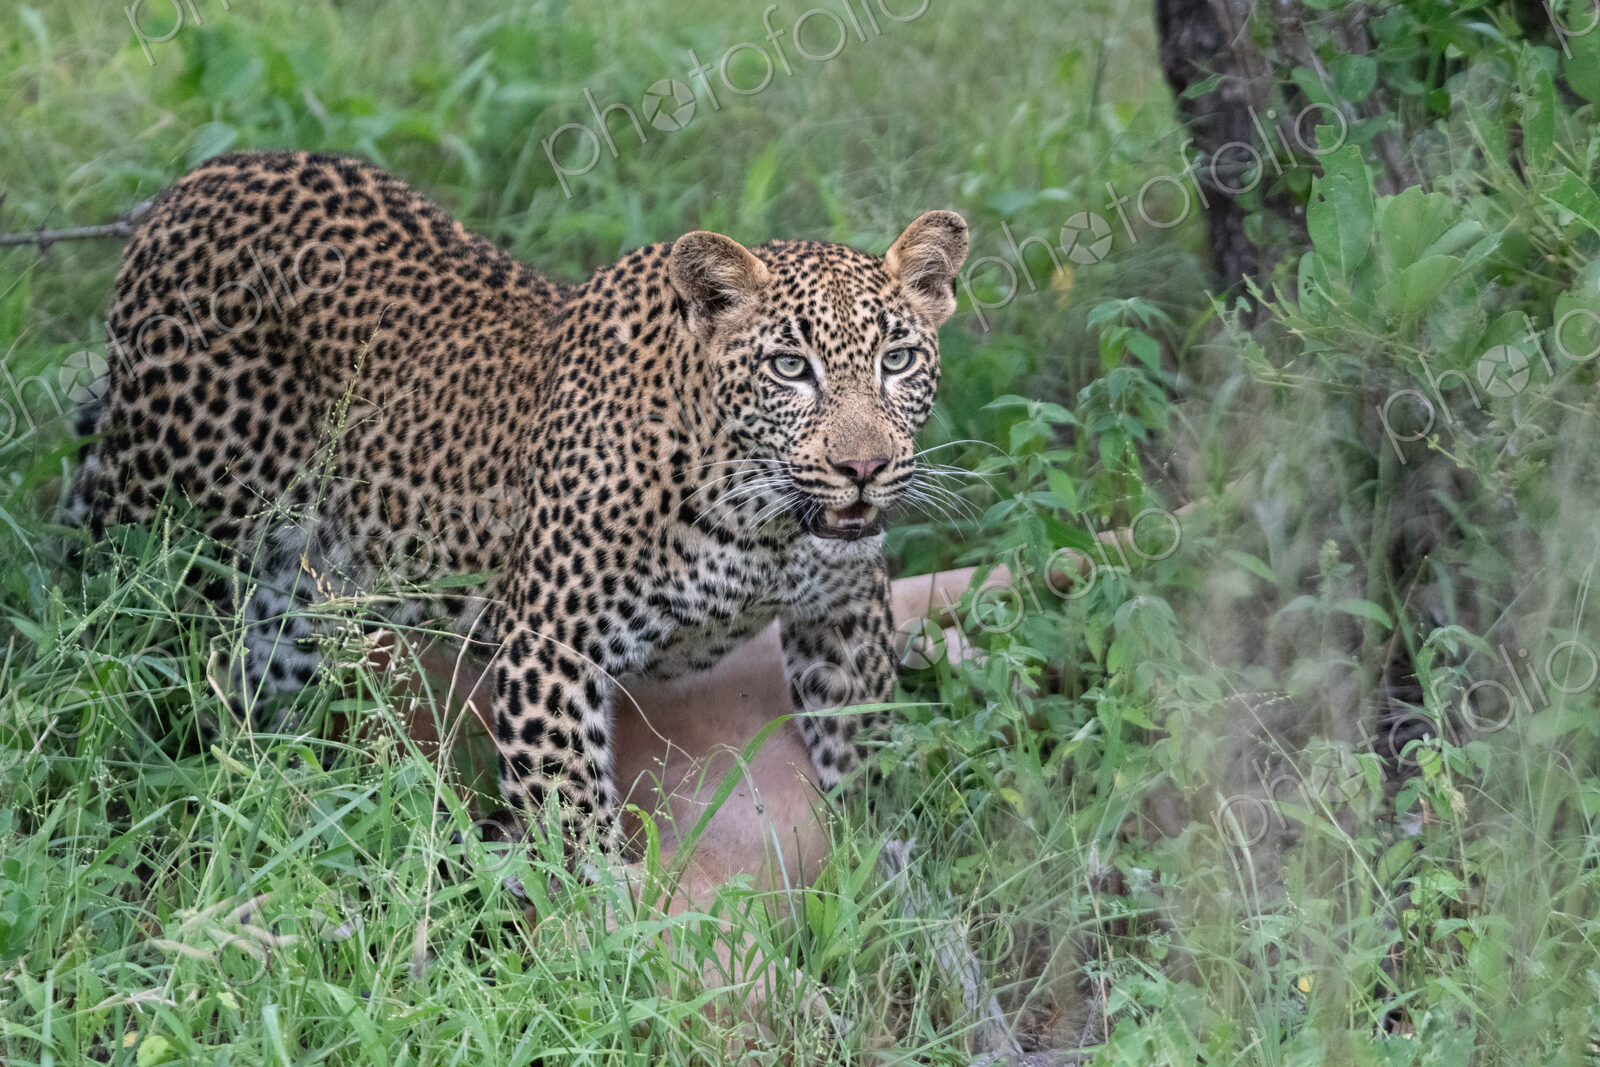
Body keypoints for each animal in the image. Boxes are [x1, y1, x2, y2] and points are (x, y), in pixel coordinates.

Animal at [62, 150, 970, 857]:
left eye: (896, 359)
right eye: (790, 367)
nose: (863, 466)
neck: (763, 525)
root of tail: (191, 185)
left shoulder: (843, 615)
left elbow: (867, 763)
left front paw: (887, 887)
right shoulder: (551, 647)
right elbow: (577, 829)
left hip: (286, 604)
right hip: (165, 535)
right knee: (101, 645)